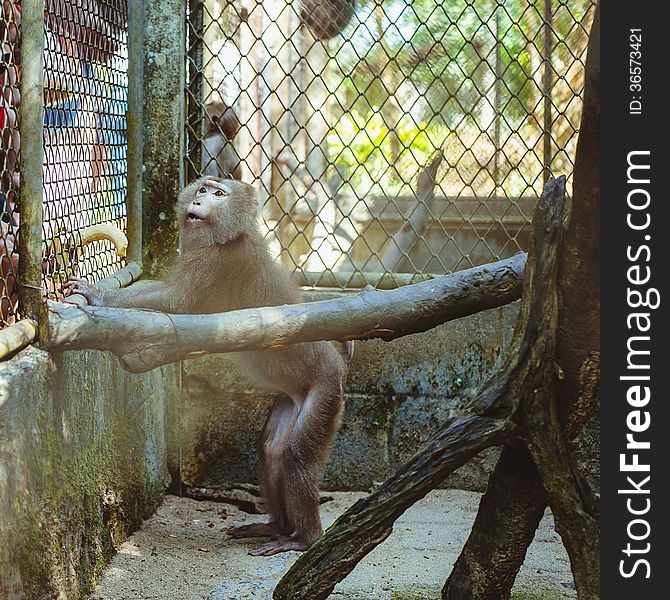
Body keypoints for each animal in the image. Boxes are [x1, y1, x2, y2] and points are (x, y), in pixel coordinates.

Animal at [65, 176, 354, 556]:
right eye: (203, 188)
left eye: (219, 194)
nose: (200, 201)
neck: (229, 235)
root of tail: (337, 365)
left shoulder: (222, 259)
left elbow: (176, 301)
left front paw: (99, 295)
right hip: (292, 397)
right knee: (272, 451)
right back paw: (275, 526)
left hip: (324, 390)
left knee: (296, 457)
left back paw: (304, 537)